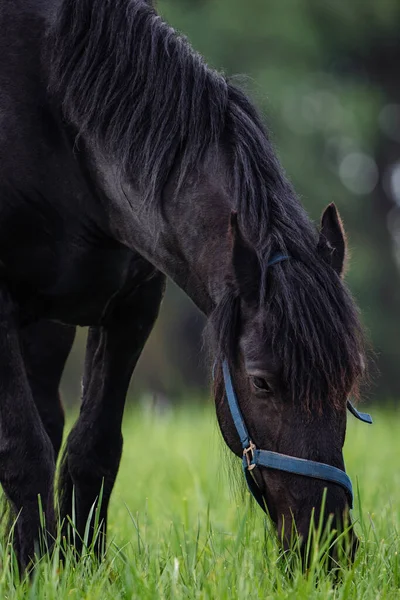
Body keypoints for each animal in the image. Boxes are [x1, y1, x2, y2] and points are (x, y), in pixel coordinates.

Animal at [0, 0, 368, 568]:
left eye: (348, 380)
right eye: (261, 382)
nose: (328, 550)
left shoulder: (132, 307)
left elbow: (94, 447)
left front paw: (81, 566)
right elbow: (24, 448)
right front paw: (35, 569)